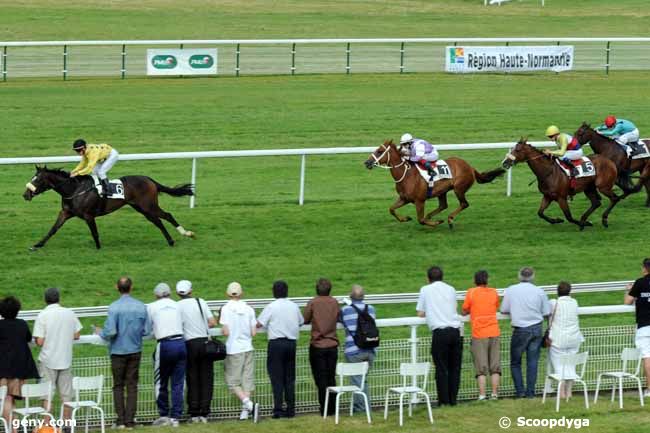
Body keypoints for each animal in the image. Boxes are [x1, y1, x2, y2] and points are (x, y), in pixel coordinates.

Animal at [23, 165, 195, 248]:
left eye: (38, 180)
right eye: (32, 178)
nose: (25, 194)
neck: (75, 190)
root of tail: (149, 179)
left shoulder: (88, 215)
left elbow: (94, 233)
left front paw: (98, 248)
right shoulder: (65, 213)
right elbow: (53, 229)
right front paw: (37, 245)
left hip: (148, 206)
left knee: (167, 216)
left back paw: (184, 234)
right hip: (141, 208)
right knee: (158, 221)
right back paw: (172, 240)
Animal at [362, 141, 504, 230]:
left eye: (380, 151)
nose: (367, 162)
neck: (406, 174)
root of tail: (470, 167)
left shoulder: (419, 200)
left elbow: (420, 219)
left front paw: (435, 222)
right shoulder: (404, 198)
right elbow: (391, 209)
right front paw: (405, 218)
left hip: (459, 189)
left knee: (464, 204)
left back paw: (449, 220)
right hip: (442, 191)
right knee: (443, 205)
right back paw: (432, 216)